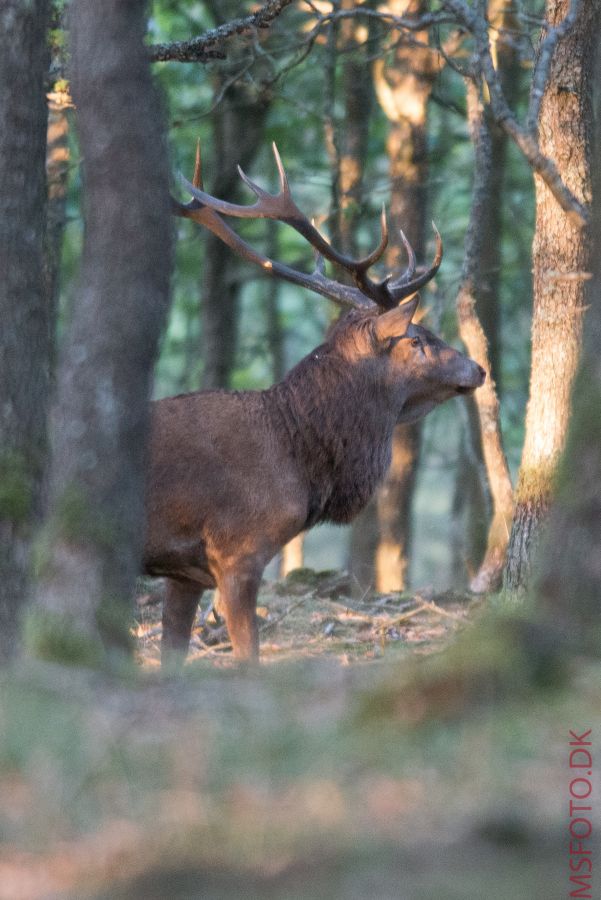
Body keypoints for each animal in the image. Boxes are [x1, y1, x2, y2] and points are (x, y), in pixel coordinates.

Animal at [143, 144, 486, 664]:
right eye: (418, 339)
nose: (479, 369)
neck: (297, 458)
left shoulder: (184, 573)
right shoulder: (237, 552)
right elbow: (249, 660)